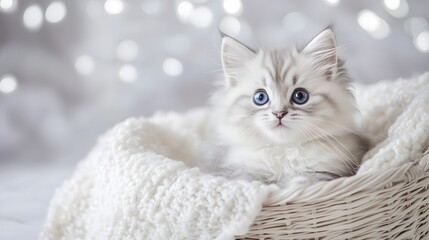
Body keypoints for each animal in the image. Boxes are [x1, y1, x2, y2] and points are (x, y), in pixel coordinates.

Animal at [208, 27, 368, 186]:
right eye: (260, 97)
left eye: (300, 96)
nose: (279, 113)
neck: (284, 151)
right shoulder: (238, 170)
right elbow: (248, 180)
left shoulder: (326, 171)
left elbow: (300, 183)